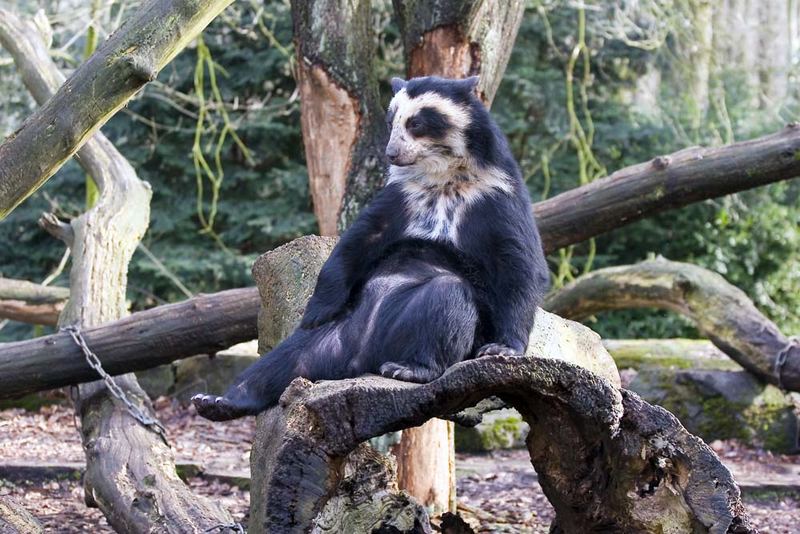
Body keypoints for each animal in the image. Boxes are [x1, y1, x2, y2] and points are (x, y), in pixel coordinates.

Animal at [195, 74, 552, 422]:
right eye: (391, 121)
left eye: (416, 123)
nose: (391, 153)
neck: (443, 180)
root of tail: (361, 357)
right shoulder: (402, 195)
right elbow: (358, 241)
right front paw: (315, 310)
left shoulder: (495, 197)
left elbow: (518, 263)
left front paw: (502, 348)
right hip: (330, 336)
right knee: (283, 360)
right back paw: (217, 401)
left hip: (424, 327)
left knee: (446, 300)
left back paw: (409, 369)